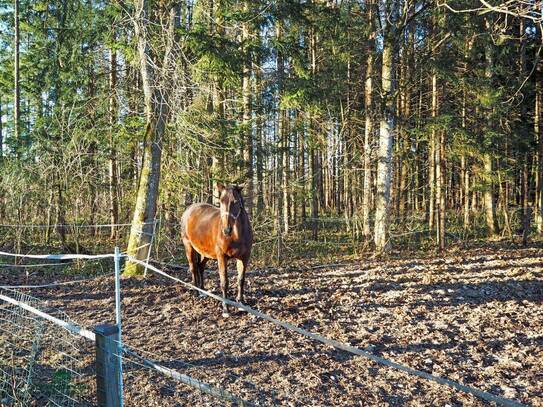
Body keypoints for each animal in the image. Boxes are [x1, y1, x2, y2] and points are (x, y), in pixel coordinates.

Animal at [181, 183, 253, 318]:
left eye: (236, 201)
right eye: (221, 201)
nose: (226, 230)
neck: (236, 235)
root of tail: (188, 210)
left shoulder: (244, 258)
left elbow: (241, 280)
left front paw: (241, 303)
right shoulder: (221, 257)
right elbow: (224, 282)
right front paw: (225, 309)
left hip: (206, 253)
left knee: (200, 267)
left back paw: (203, 291)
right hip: (188, 246)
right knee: (193, 268)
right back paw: (196, 292)